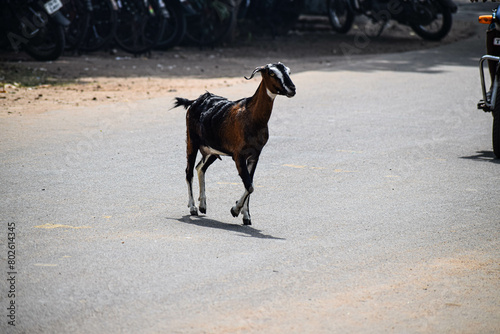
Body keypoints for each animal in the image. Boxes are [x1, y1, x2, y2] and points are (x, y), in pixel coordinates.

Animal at [173, 62, 294, 226]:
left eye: (288, 71)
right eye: (272, 73)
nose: (292, 88)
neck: (252, 117)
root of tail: (194, 102)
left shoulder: (255, 155)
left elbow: (250, 183)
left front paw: (246, 216)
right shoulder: (238, 156)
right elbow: (249, 186)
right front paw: (235, 210)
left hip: (212, 150)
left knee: (200, 168)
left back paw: (203, 205)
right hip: (192, 141)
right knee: (189, 171)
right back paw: (193, 207)